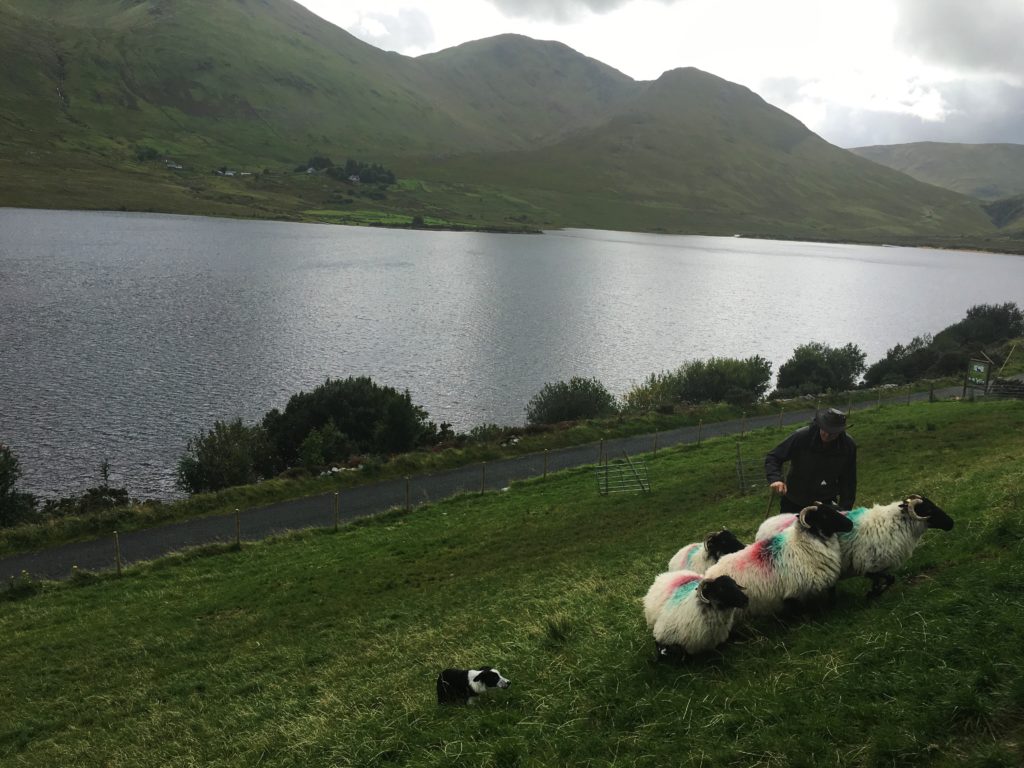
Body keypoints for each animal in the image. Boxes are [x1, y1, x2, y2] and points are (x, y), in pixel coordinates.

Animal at [704, 499, 856, 618]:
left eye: (835, 509)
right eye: (824, 515)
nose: (850, 524)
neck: (802, 545)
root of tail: (708, 573)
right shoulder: (793, 591)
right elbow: (799, 612)